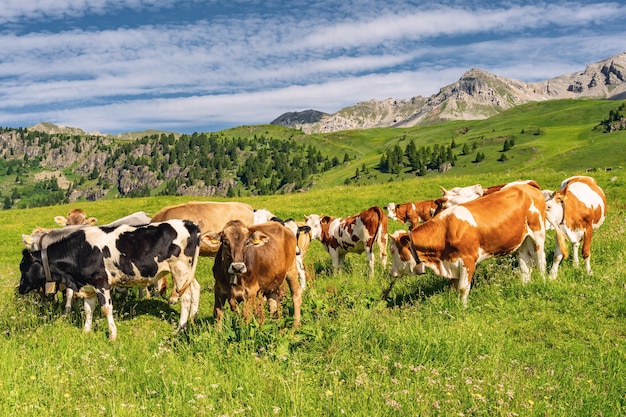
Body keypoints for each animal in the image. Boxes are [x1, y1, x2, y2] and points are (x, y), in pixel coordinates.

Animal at [18, 219, 200, 340]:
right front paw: (86, 331)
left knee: (185, 297)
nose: (19, 288)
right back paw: (192, 319)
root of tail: (189, 224)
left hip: (180, 269)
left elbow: (106, 309)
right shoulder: (88, 286)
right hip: (187, 273)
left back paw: (180, 328)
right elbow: (88, 309)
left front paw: (112, 335)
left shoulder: (101, 283)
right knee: (195, 289)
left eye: (24, 268)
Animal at [386, 184, 564, 304]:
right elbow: (454, 286)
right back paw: (525, 284)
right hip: (522, 240)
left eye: (393, 251)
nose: (392, 273)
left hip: (538, 232)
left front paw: (462, 309)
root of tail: (527, 186)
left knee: (540, 260)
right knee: (525, 263)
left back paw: (543, 281)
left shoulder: (468, 260)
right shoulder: (452, 262)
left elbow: (463, 288)